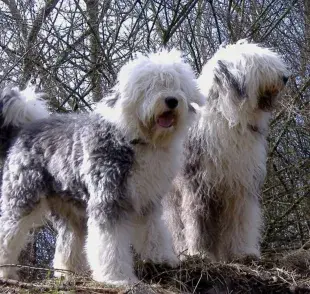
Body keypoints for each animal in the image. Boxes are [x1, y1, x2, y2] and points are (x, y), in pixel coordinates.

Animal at [0, 48, 203, 284]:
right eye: (150, 86)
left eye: (176, 84)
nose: (171, 100)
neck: (136, 138)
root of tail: (22, 130)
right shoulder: (109, 199)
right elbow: (111, 243)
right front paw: (116, 277)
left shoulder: (147, 201)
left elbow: (154, 231)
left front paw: (162, 258)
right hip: (22, 197)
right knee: (8, 233)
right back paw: (7, 273)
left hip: (70, 208)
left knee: (68, 242)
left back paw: (69, 273)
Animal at [163, 39, 290, 262]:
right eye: (260, 64)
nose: (285, 77)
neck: (229, 118)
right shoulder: (198, 185)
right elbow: (198, 223)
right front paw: (201, 252)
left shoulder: (240, 186)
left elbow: (240, 221)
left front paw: (243, 252)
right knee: (176, 224)